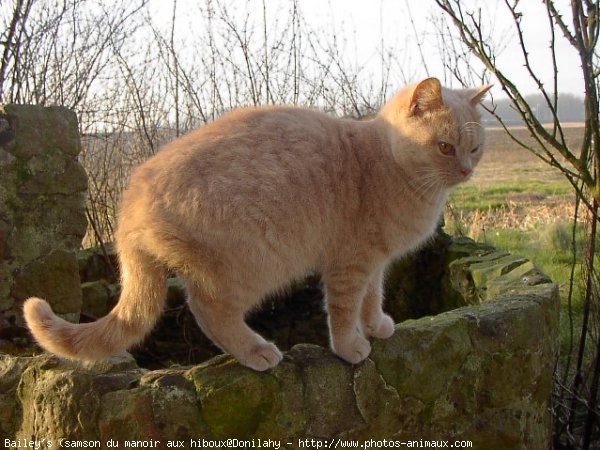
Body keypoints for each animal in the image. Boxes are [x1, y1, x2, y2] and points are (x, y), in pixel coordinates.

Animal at [24, 77, 492, 370]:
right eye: (445, 147)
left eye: (475, 148)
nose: (466, 170)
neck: (385, 165)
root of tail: (130, 200)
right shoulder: (348, 265)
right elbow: (344, 311)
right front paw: (351, 347)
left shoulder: (373, 264)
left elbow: (371, 299)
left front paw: (377, 326)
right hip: (247, 267)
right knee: (207, 311)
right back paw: (257, 352)